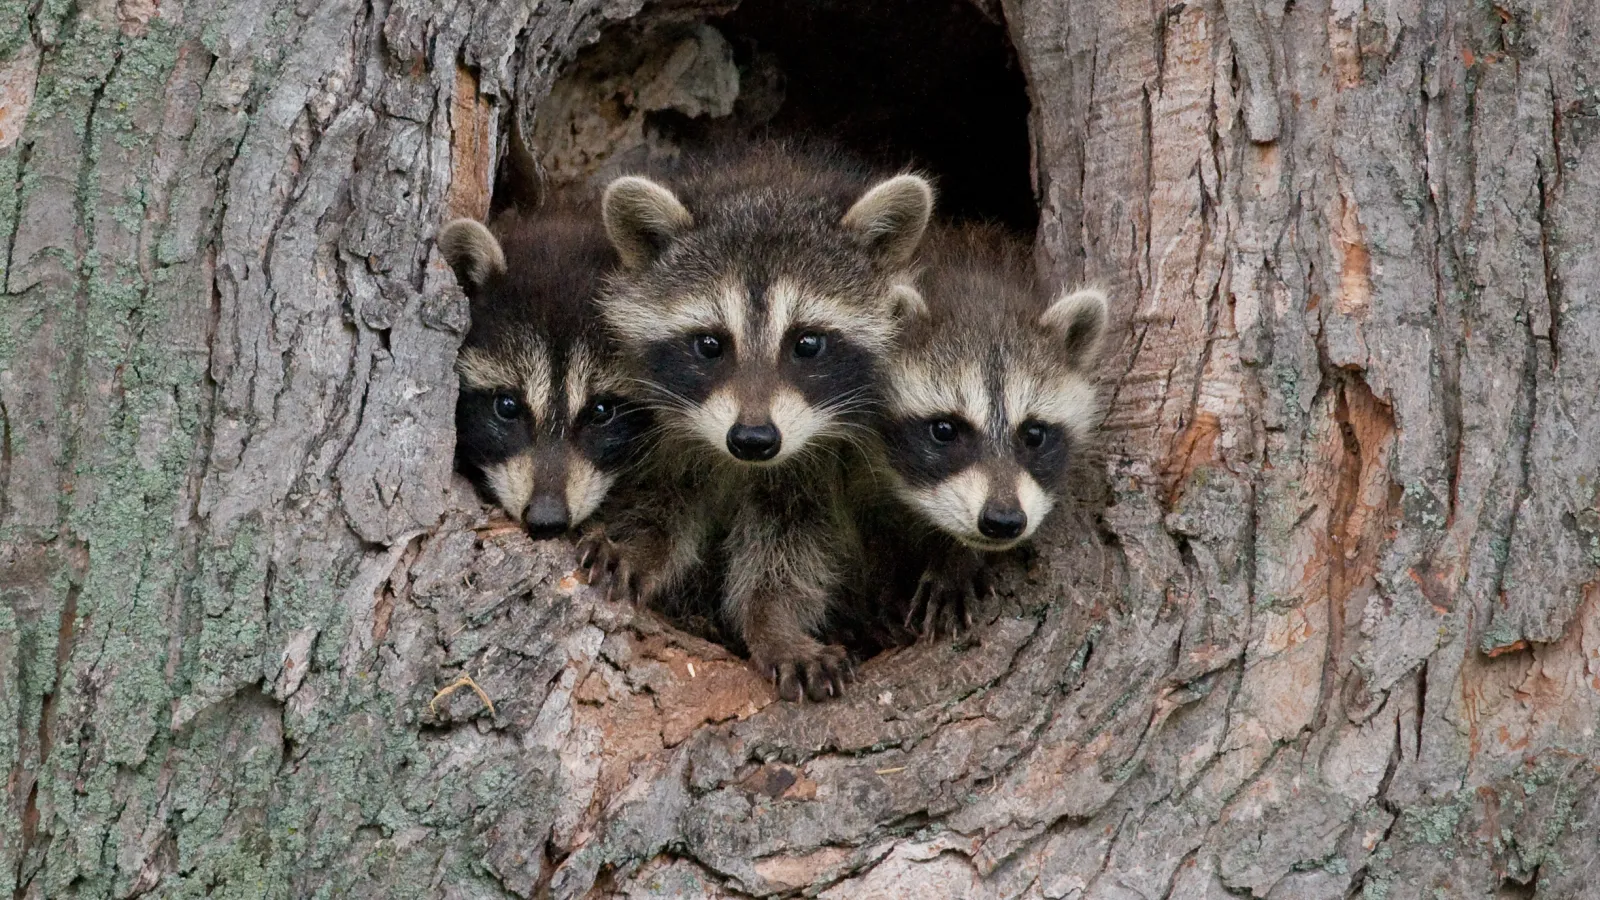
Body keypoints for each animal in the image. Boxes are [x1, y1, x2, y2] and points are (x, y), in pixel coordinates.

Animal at [585, 141, 934, 701]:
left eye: (807, 343)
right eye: (710, 344)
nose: (752, 439)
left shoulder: (815, 463)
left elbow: (791, 547)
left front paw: (774, 624)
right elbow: (662, 502)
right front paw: (638, 547)